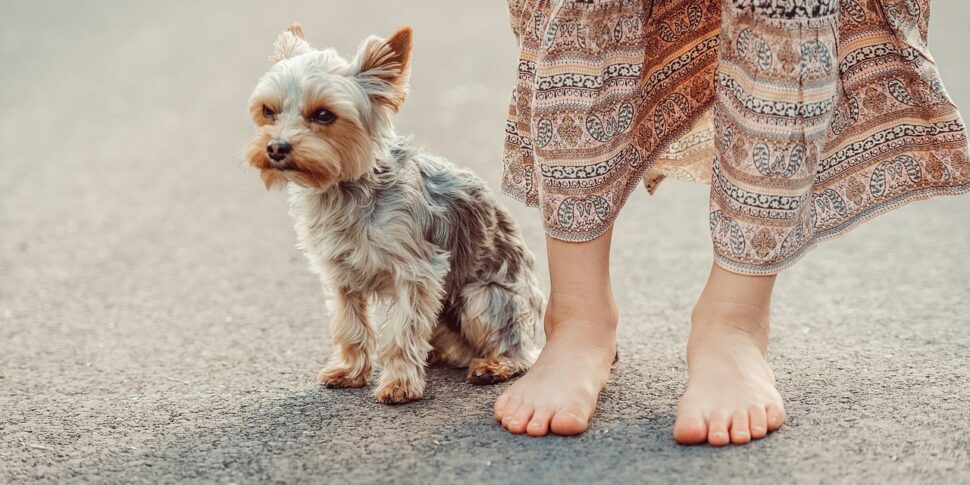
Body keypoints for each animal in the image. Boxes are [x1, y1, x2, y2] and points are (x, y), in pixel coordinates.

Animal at [246, 23, 540, 400]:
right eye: (268, 111)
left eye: (324, 115)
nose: (276, 148)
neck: (346, 188)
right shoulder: (341, 276)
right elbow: (350, 326)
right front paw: (349, 371)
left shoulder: (416, 272)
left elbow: (402, 331)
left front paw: (399, 384)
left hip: (482, 296)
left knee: (518, 351)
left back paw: (494, 365)